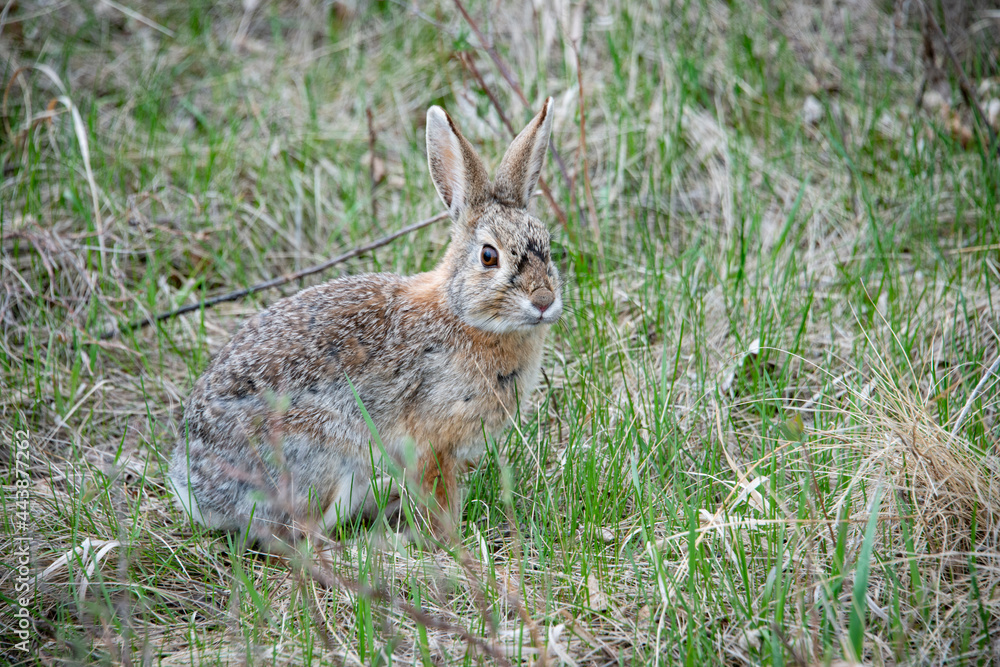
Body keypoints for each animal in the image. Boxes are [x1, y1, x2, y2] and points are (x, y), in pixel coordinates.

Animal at [168, 98, 561, 544]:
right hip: (327, 458)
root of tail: (197, 489)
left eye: (548, 248)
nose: (544, 301)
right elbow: (439, 498)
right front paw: (447, 542)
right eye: (489, 256)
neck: (462, 315)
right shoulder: (432, 443)